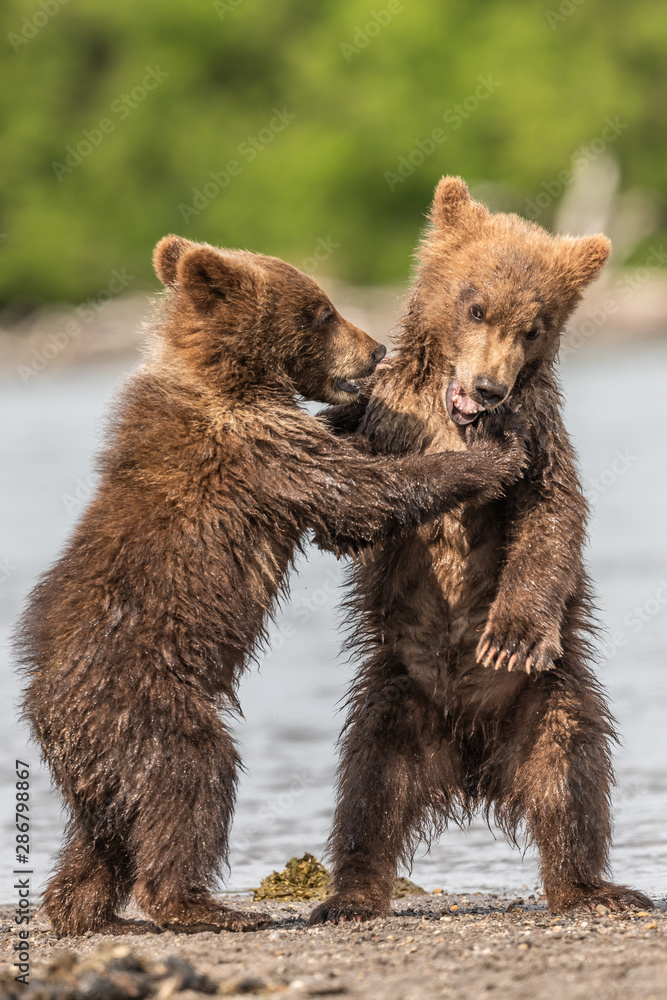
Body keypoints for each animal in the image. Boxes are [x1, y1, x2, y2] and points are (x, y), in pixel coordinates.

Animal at [15, 234, 529, 937]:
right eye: (321, 310)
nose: (376, 349)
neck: (232, 380)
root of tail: (46, 710)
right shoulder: (265, 449)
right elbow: (360, 496)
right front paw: (489, 457)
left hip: (99, 756)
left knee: (104, 830)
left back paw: (89, 910)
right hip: (145, 704)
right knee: (190, 776)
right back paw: (197, 905)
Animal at [309, 176, 654, 924]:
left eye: (534, 327)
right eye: (475, 306)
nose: (490, 387)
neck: (453, 417)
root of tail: (469, 760)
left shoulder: (540, 434)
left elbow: (549, 518)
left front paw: (509, 635)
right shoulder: (386, 417)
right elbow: (350, 508)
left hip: (549, 696)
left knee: (568, 776)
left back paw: (593, 890)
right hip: (396, 696)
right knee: (369, 788)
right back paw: (349, 894)